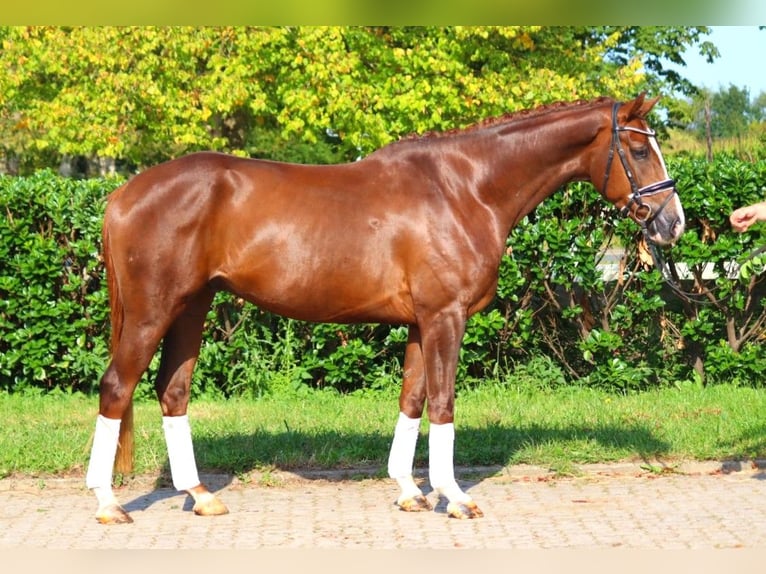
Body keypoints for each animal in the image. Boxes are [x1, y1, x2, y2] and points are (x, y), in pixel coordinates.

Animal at [87, 94, 688, 528]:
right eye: (639, 151)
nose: (673, 223)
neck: (465, 187)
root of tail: (122, 195)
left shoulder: (422, 323)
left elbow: (413, 399)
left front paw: (408, 491)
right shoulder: (445, 317)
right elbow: (443, 404)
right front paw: (455, 496)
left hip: (192, 307)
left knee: (172, 391)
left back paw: (199, 494)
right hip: (152, 311)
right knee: (117, 387)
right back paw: (108, 503)